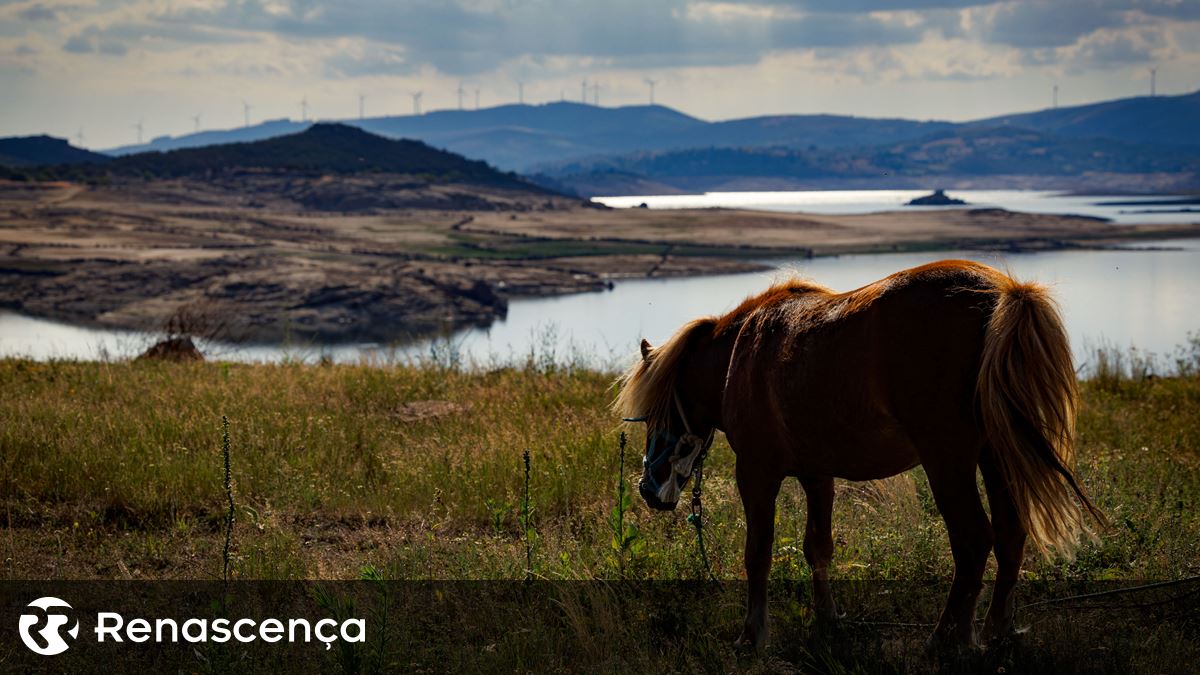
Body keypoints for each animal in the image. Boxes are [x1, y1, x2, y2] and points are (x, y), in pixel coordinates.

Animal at [619, 257, 1104, 648]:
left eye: (655, 413)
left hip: (948, 461)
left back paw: (949, 637)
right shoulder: (818, 475)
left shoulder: (756, 473)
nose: (649, 489)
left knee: (972, 540)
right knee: (1009, 534)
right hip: (995, 455)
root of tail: (1002, 293)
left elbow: (758, 553)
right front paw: (827, 620)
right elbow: (818, 548)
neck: (741, 356)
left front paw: (752, 634)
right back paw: (995, 630)